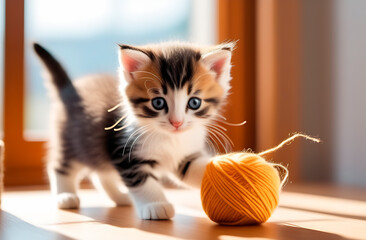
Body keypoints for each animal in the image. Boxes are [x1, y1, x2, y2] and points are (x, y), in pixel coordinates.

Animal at [34, 41, 234, 219]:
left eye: (194, 102)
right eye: (158, 102)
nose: (176, 122)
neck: (170, 138)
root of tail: (70, 89)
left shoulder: (185, 156)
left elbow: (197, 168)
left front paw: (224, 172)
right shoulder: (126, 153)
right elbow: (143, 181)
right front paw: (156, 204)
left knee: (101, 174)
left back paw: (120, 197)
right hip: (72, 141)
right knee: (59, 167)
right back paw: (65, 196)